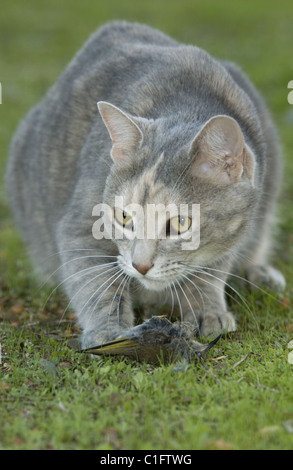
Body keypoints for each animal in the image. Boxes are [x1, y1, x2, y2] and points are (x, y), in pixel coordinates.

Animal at [6, 22, 282, 346]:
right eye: (124, 217)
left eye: (181, 223)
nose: (141, 266)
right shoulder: (81, 228)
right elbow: (95, 283)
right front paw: (108, 332)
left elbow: (210, 269)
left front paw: (205, 310)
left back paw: (261, 275)